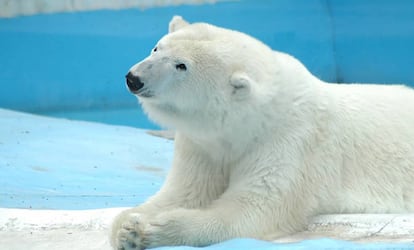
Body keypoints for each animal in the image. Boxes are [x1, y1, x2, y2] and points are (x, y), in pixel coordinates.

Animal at [110, 16, 414, 249]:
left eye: (182, 65)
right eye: (156, 48)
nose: (134, 78)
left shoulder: (289, 141)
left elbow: (254, 207)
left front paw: (152, 230)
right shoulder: (202, 145)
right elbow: (186, 192)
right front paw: (128, 226)